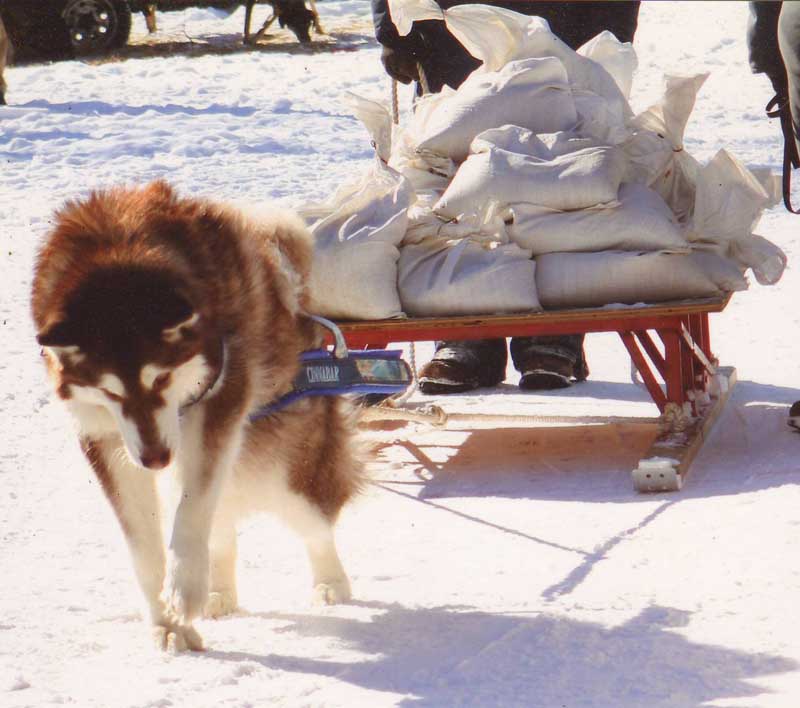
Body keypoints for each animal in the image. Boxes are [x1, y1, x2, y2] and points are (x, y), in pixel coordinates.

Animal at [32, 183, 364, 652]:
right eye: (110, 392)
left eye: (162, 377)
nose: (154, 459)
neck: (117, 245)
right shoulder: (104, 436)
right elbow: (143, 543)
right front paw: (166, 622)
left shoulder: (221, 402)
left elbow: (194, 508)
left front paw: (184, 586)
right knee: (221, 522)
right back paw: (218, 591)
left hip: (283, 468)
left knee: (312, 521)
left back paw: (329, 581)